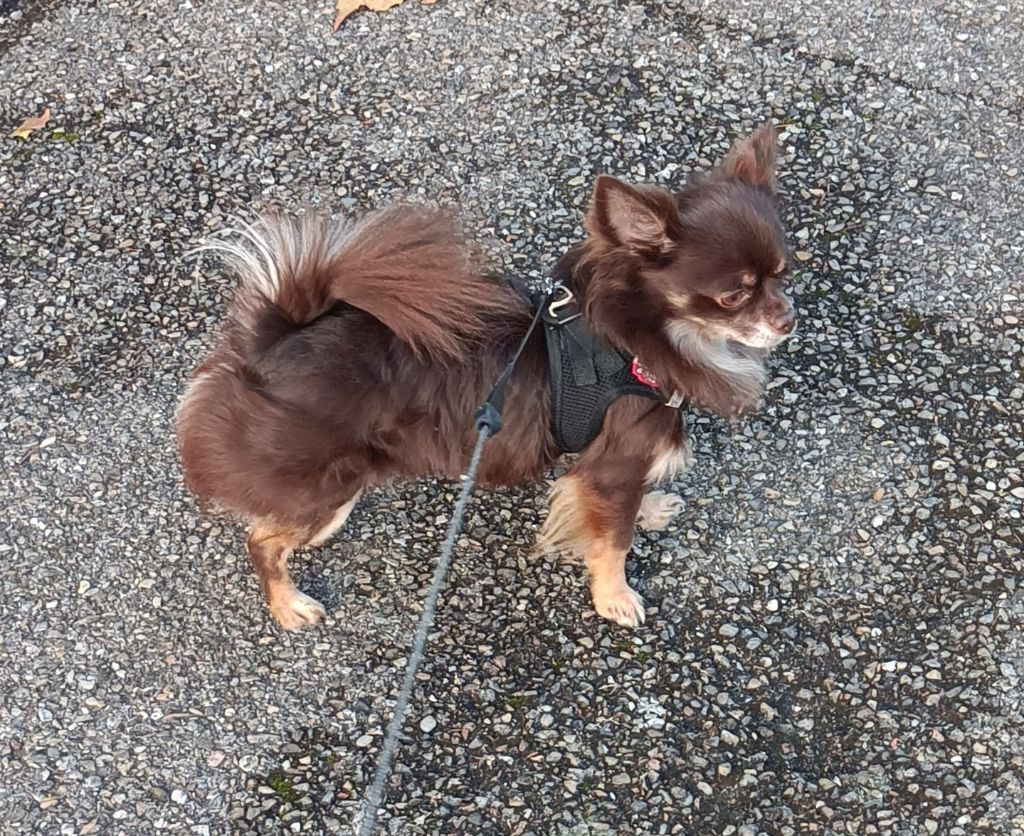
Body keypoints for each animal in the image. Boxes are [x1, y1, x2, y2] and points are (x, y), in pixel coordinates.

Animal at [176, 122, 795, 630]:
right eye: (734, 295)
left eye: (785, 274)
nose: (789, 318)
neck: (636, 340)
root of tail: (272, 342)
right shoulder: (617, 462)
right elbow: (612, 541)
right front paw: (614, 598)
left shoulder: (607, 463)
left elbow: (615, 504)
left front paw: (651, 509)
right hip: (329, 494)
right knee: (262, 539)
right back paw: (288, 605)